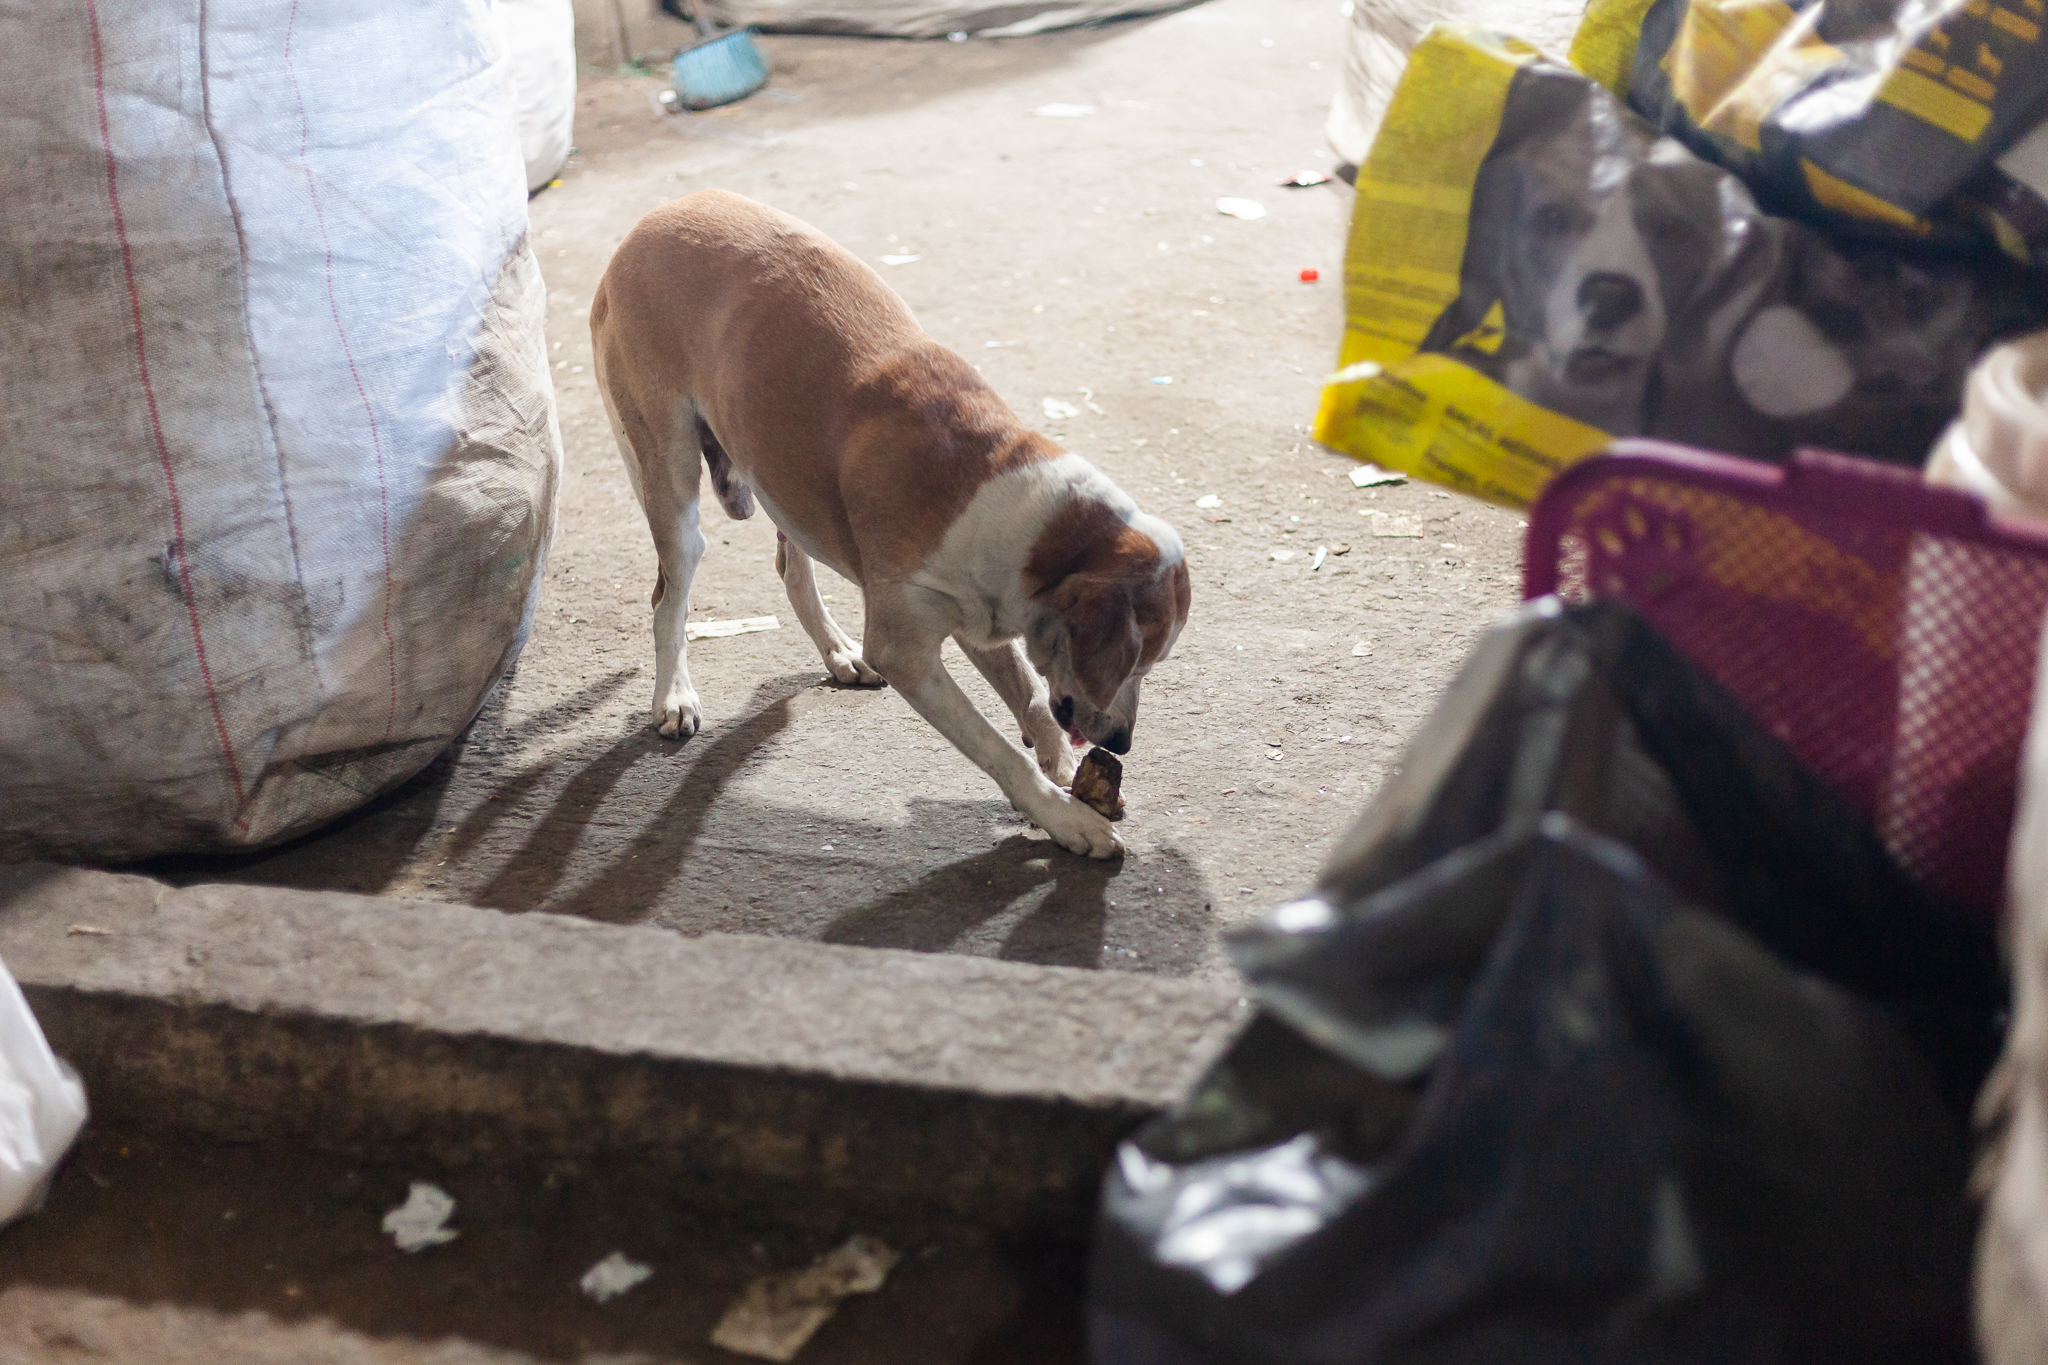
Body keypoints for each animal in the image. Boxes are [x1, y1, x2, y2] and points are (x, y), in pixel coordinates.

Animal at [588, 191, 1189, 859]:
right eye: (1135, 664)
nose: (1124, 743)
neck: (995, 486)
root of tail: (655, 218)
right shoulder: (909, 651)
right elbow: (996, 749)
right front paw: (1067, 818)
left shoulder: (981, 619)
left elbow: (1031, 693)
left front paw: (1060, 772)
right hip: (672, 492)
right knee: (668, 598)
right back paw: (673, 696)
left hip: (780, 477)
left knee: (790, 565)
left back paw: (837, 651)